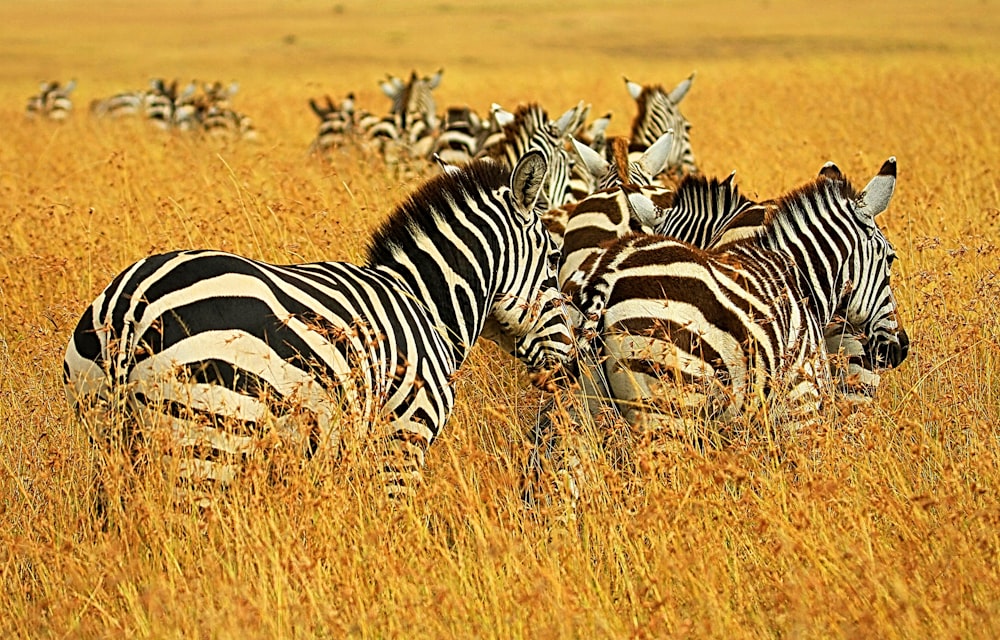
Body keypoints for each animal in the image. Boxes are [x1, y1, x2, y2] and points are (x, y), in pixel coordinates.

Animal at [62, 150, 576, 500]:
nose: (571, 366)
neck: (427, 303)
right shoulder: (403, 438)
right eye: (554, 260)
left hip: (109, 439)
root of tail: (129, 305)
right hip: (209, 438)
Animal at [564, 158, 908, 442]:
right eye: (891, 259)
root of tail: (609, 273)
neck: (799, 277)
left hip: (589, 411)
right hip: (671, 402)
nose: (899, 349)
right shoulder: (801, 400)